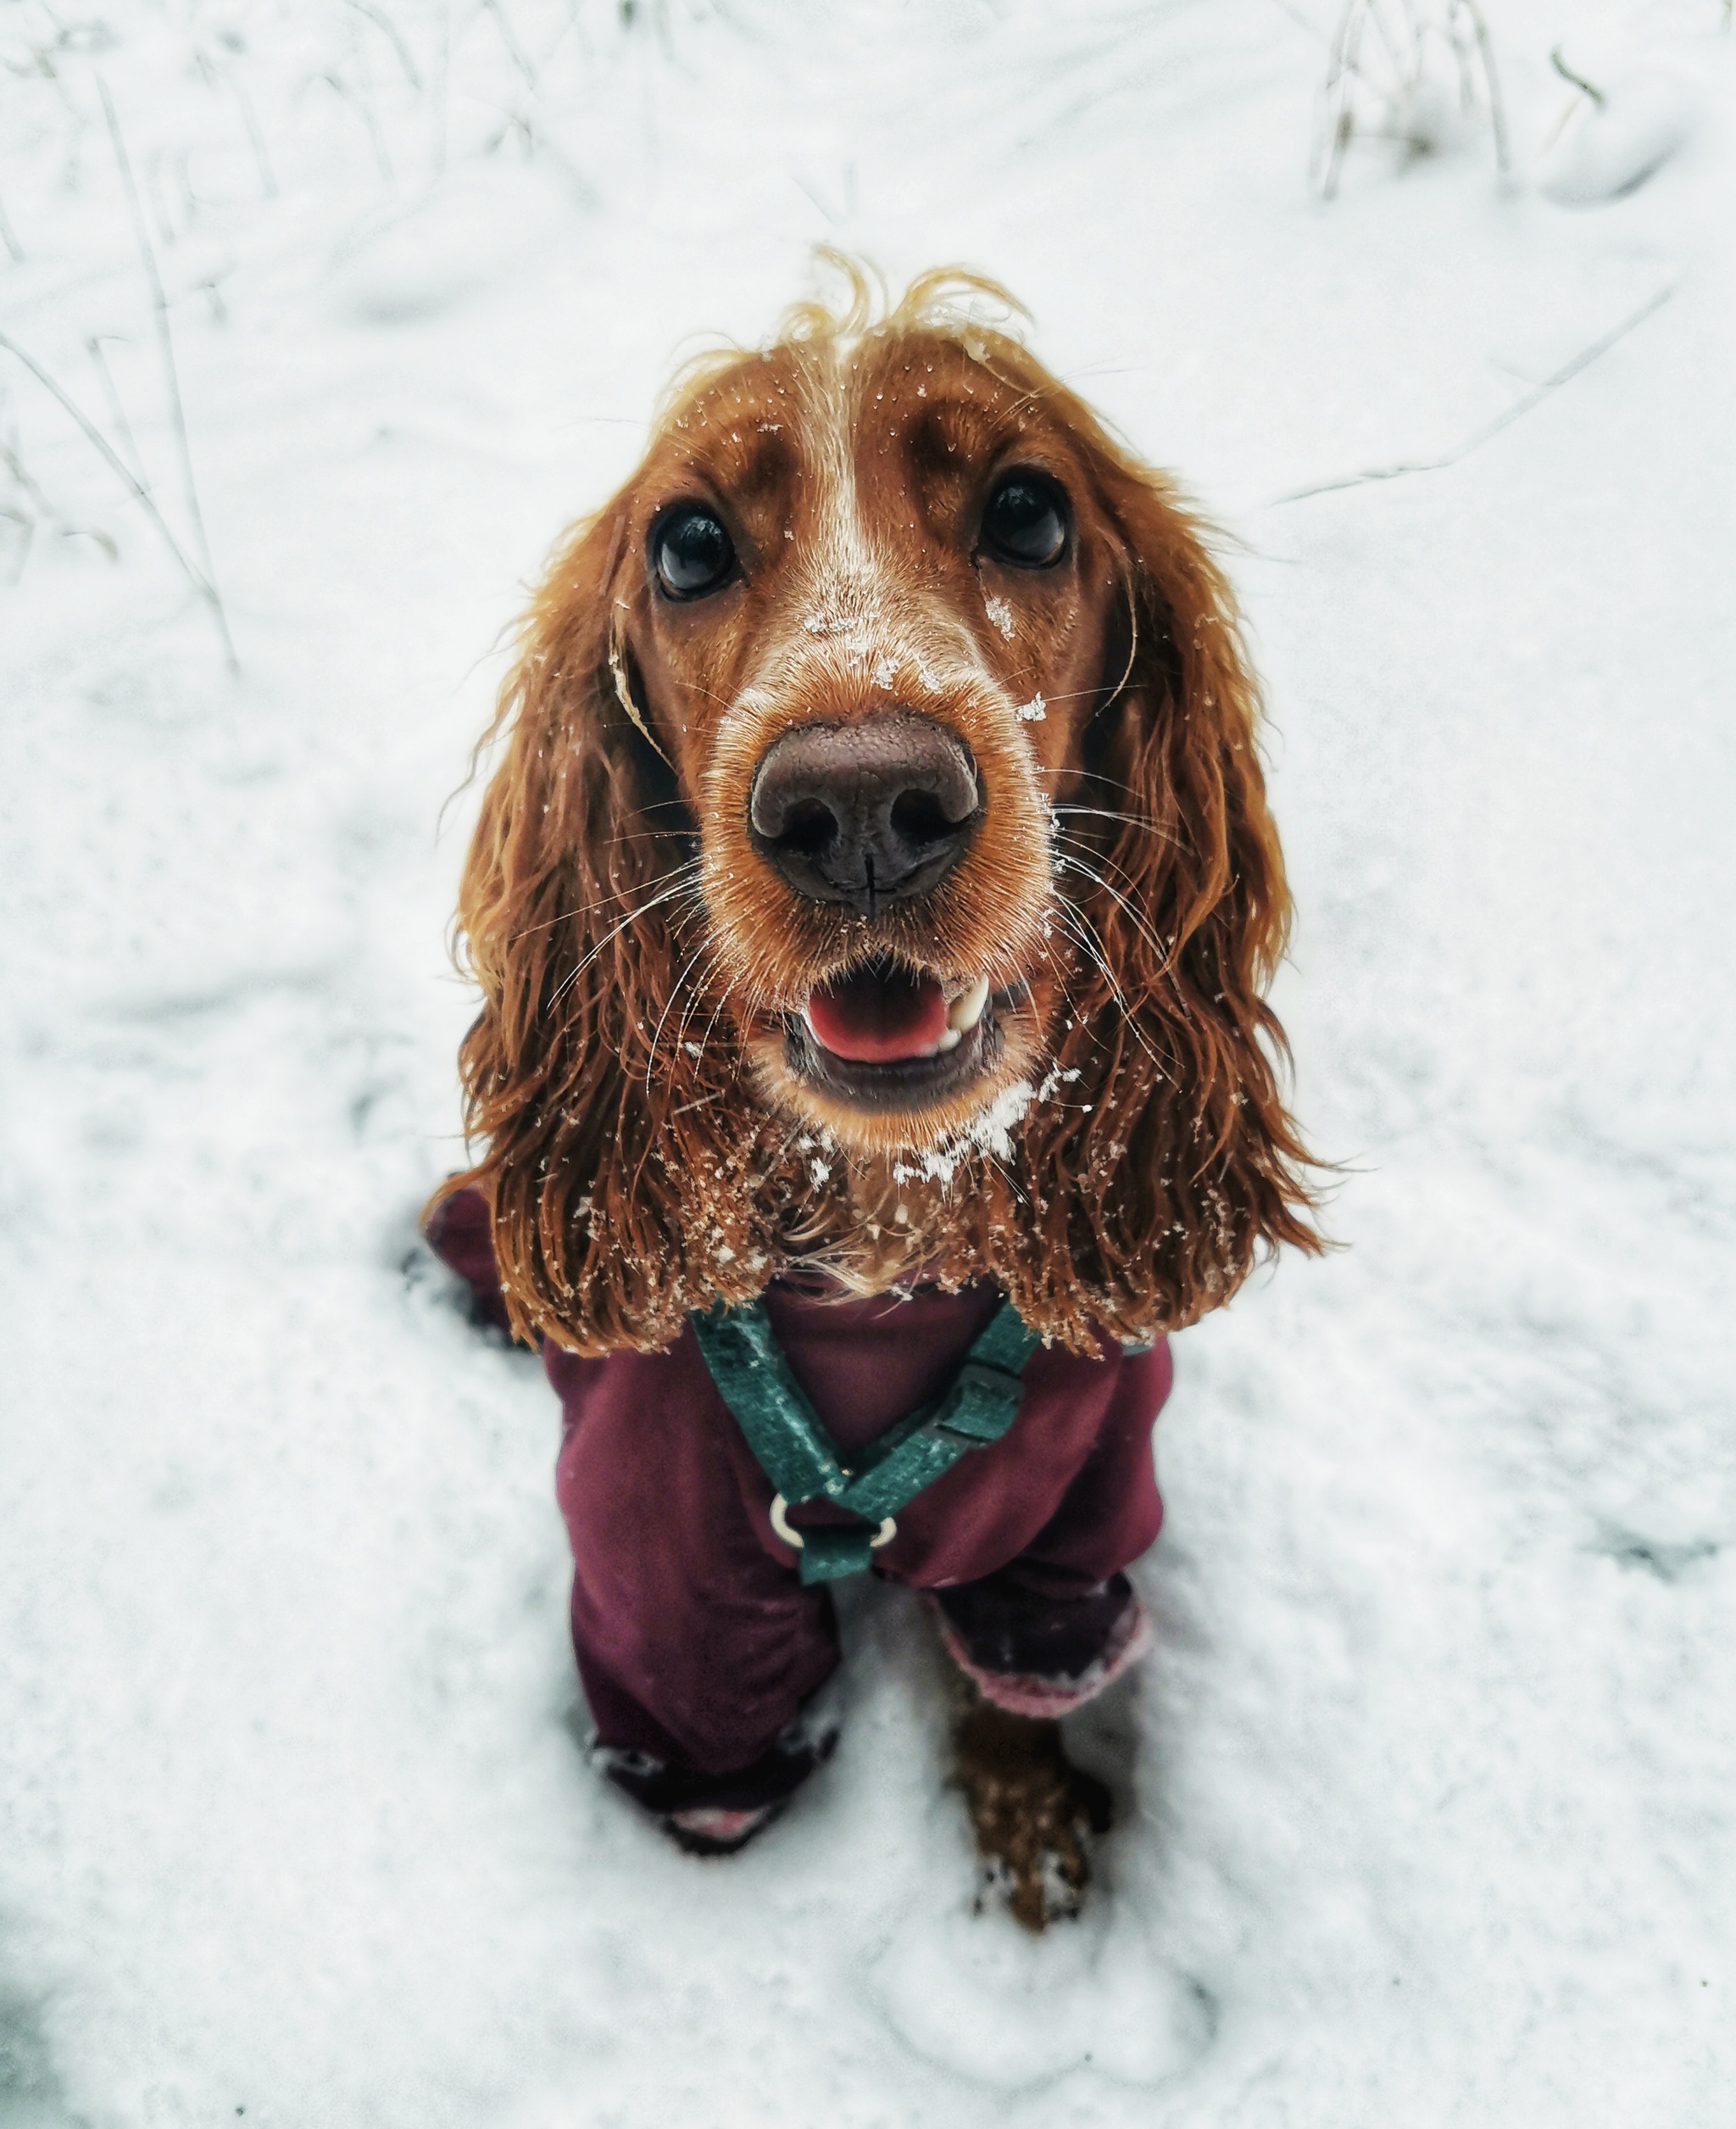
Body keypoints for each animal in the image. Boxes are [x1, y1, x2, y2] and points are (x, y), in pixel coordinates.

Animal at [429, 261, 1319, 1932]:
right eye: (688, 543)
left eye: (1028, 512)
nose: (856, 809)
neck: (886, 1228)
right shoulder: (665, 1592)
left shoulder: (1070, 1524)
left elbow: (1011, 1686)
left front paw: (1031, 1840)